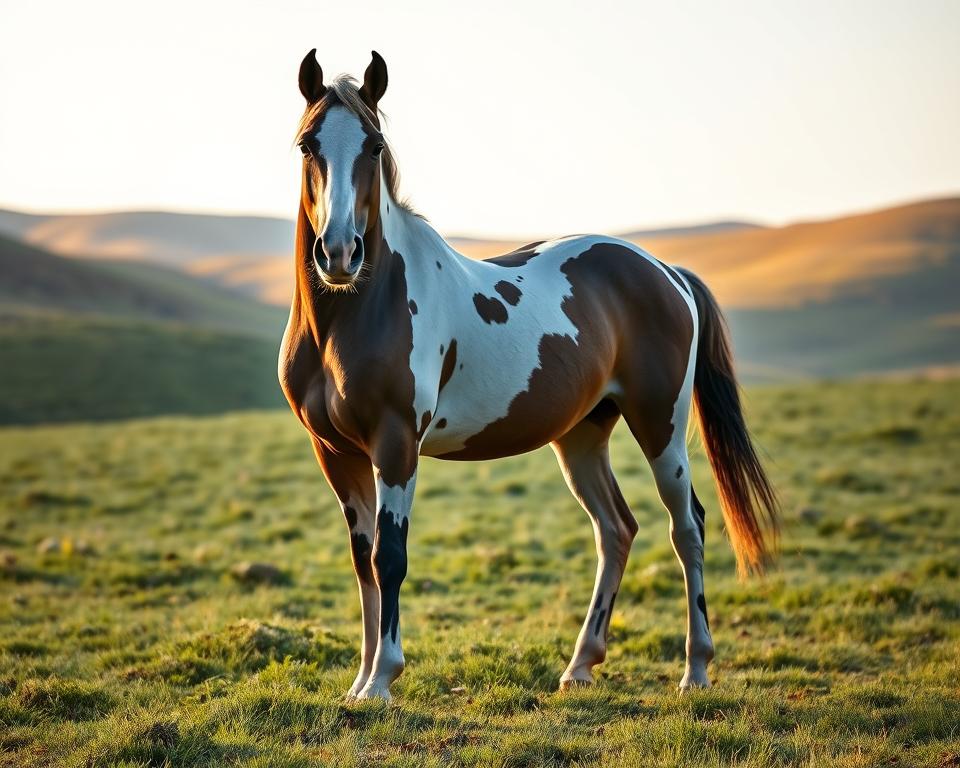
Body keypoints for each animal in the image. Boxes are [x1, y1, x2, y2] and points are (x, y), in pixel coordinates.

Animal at [279, 50, 780, 701]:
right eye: (307, 144)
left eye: (374, 144)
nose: (340, 253)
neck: (357, 311)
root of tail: (664, 269)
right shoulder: (334, 451)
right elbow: (363, 559)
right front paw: (360, 684)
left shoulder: (395, 443)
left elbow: (390, 557)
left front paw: (384, 678)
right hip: (583, 435)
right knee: (616, 529)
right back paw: (580, 665)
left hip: (661, 425)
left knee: (686, 527)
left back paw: (695, 670)